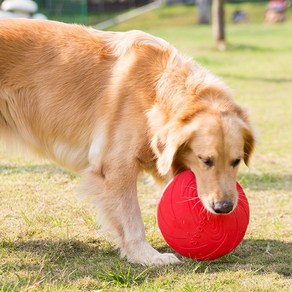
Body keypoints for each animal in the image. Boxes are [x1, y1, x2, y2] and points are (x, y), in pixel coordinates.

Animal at [0, 18, 254, 264]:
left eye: (236, 161)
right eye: (205, 160)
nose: (224, 208)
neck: (155, 90)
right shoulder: (115, 166)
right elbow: (132, 218)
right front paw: (146, 256)